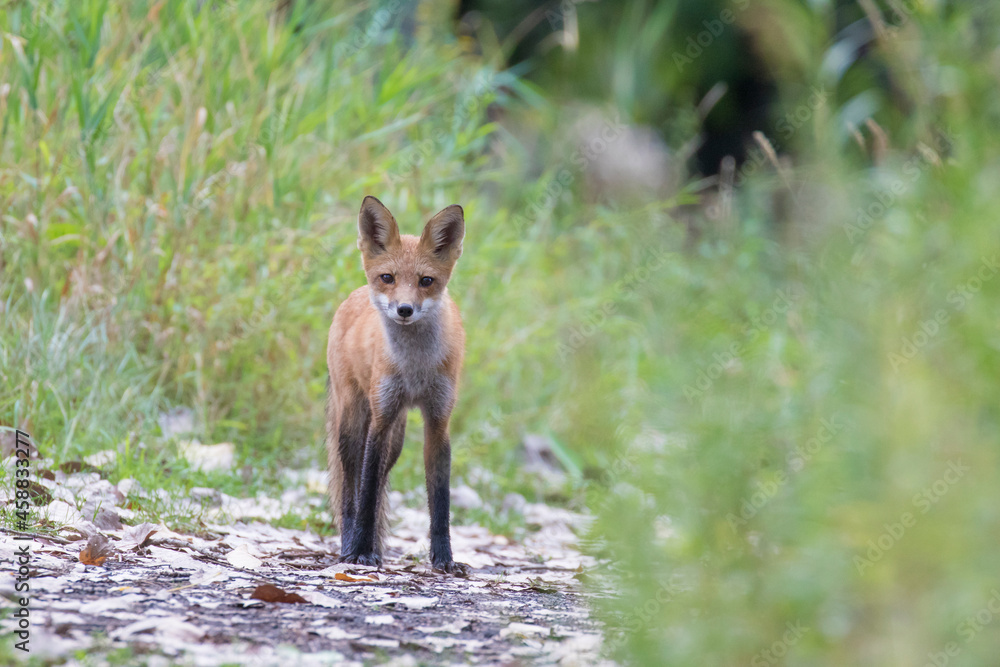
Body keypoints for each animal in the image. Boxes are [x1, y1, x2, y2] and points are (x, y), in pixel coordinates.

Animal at [325, 195, 469, 575]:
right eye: (388, 278)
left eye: (426, 280)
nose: (404, 309)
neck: (415, 369)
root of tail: (355, 294)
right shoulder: (381, 417)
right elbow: (366, 493)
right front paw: (360, 552)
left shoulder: (438, 421)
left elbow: (440, 503)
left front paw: (444, 559)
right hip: (354, 424)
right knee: (352, 488)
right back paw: (351, 544)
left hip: (397, 441)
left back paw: (374, 546)